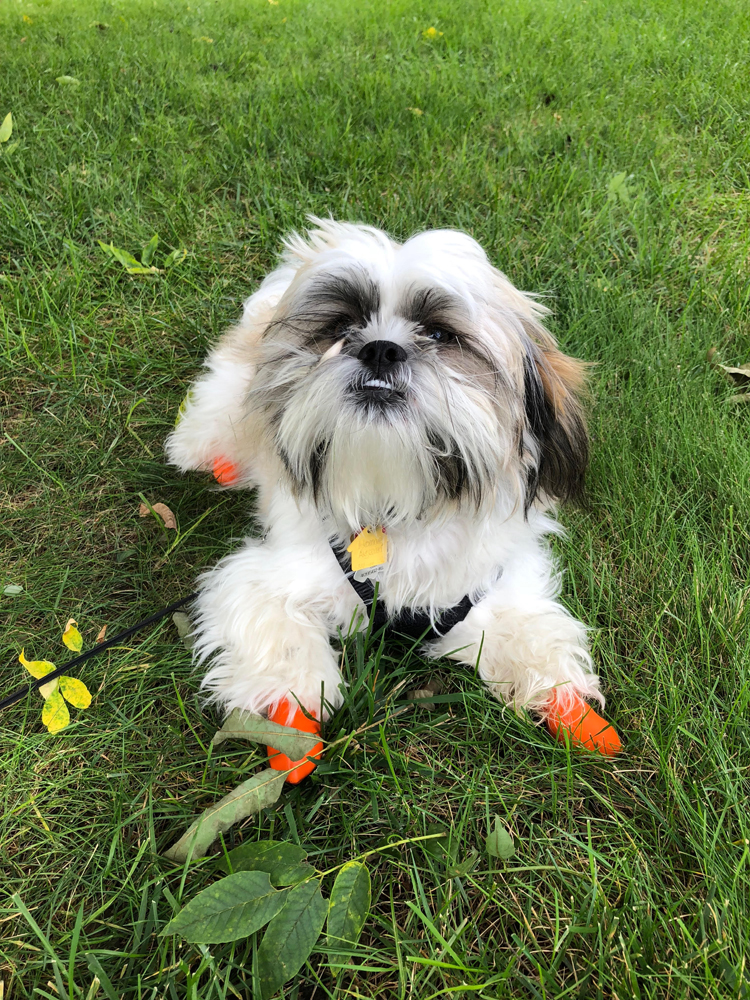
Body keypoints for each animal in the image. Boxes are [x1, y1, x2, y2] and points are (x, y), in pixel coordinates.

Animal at [169, 221, 624, 764]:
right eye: (341, 328)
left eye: (440, 335)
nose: (380, 348)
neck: (398, 504)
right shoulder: (265, 579)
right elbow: (278, 645)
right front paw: (290, 713)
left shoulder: (488, 588)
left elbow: (526, 633)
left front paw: (564, 699)